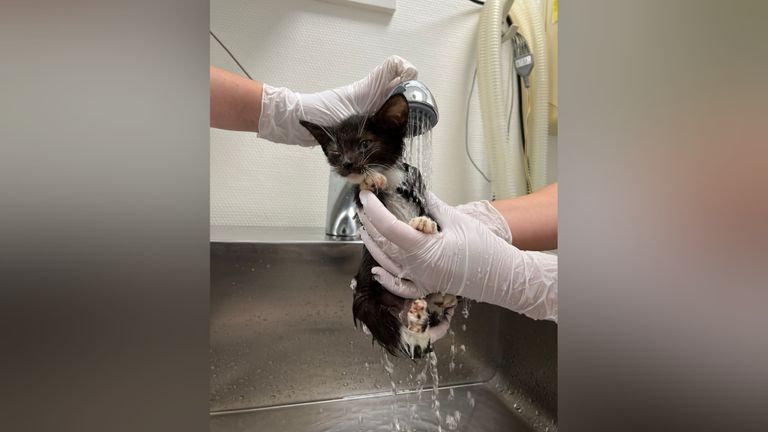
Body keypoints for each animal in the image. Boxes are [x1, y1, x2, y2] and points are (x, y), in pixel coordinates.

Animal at [298, 95, 456, 362]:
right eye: (336, 152)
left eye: (365, 144)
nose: (347, 163)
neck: (389, 174)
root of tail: (402, 303)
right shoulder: (363, 205)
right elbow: (363, 193)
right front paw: (370, 179)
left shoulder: (416, 182)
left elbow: (427, 209)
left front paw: (426, 223)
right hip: (365, 295)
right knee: (386, 323)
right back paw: (414, 326)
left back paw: (438, 300)